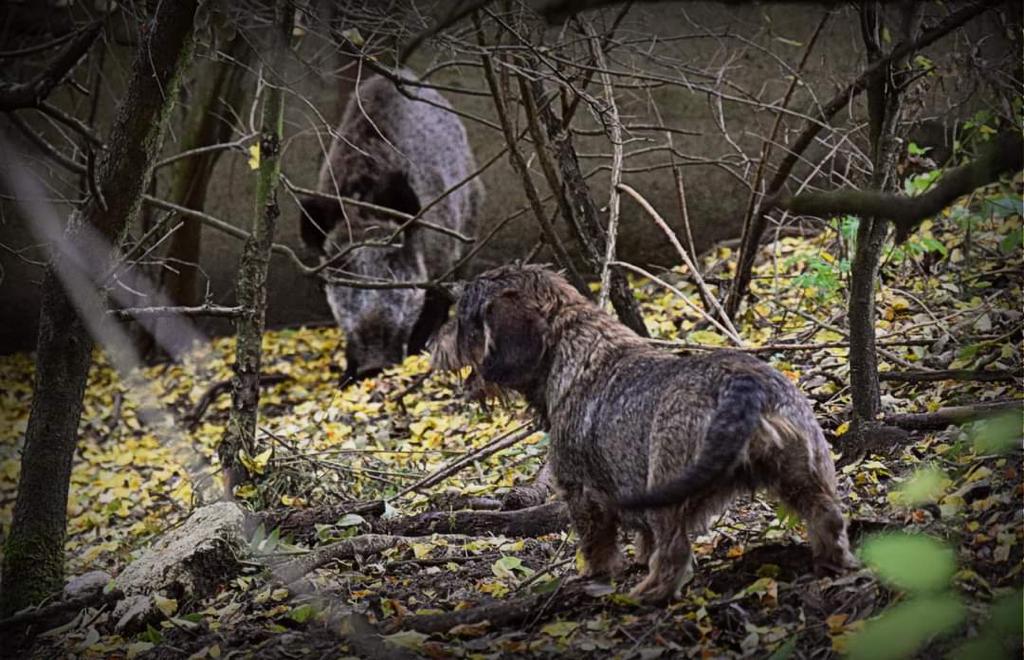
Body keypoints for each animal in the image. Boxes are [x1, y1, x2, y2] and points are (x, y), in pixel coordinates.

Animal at [428, 264, 860, 601]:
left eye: (463, 318)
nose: (431, 345)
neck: (577, 352)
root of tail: (744, 384)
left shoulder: (582, 493)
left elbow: (597, 543)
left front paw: (595, 575)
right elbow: (642, 539)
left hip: (667, 486)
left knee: (674, 554)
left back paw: (646, 594)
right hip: (804, 470)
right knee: (828, 519)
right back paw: (832, 565)